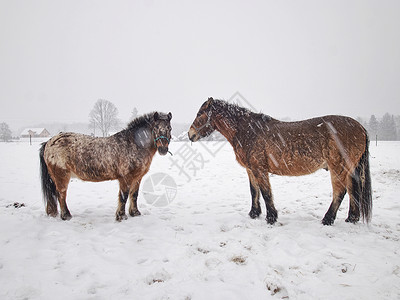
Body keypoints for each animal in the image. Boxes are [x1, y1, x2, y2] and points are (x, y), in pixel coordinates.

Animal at [39, 111, 172, 221]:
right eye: (156, 127)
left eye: (169, 128)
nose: (163, 149)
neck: (133, 144)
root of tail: (49, 142)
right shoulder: (125, 178)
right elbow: (123, 196)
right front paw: (121, 216)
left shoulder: (137, 177)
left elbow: (134, 195)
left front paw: (135, 213)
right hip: (62, 176)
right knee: (61, 194)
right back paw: (66, 216)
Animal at [188, 98, 372, 225]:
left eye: (199, 114)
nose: (190, 135)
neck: (248, 131)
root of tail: (360, 127)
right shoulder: (251, 169)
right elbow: (254, 191)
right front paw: (254, 213)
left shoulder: (260, 169)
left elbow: (265, 192)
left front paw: (271, 217)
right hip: (349, 169)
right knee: (352, 190)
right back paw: (351, 218)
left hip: (338, 168)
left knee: (340, 192)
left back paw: (327, 220)